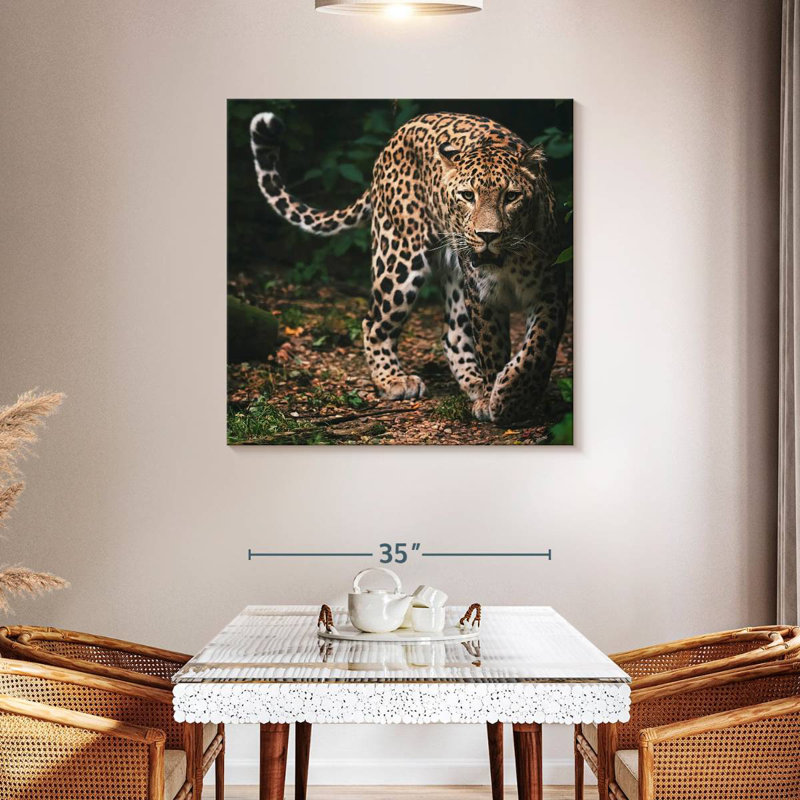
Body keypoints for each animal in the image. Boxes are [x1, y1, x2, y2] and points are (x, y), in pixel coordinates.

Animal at [249, 110, 567, 424]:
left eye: (511, 196)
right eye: (467, 196)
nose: (487, 236)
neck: (508, 261)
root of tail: (398, 133)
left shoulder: (551, 290)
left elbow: (538, 349)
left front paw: (513, 396)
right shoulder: (482, 296)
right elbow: (492, 348)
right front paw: (498, 400)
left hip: (454, 275)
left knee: (452, 334)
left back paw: (474, 384)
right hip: (399, 259)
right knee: (373, 323)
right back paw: (394, 380)